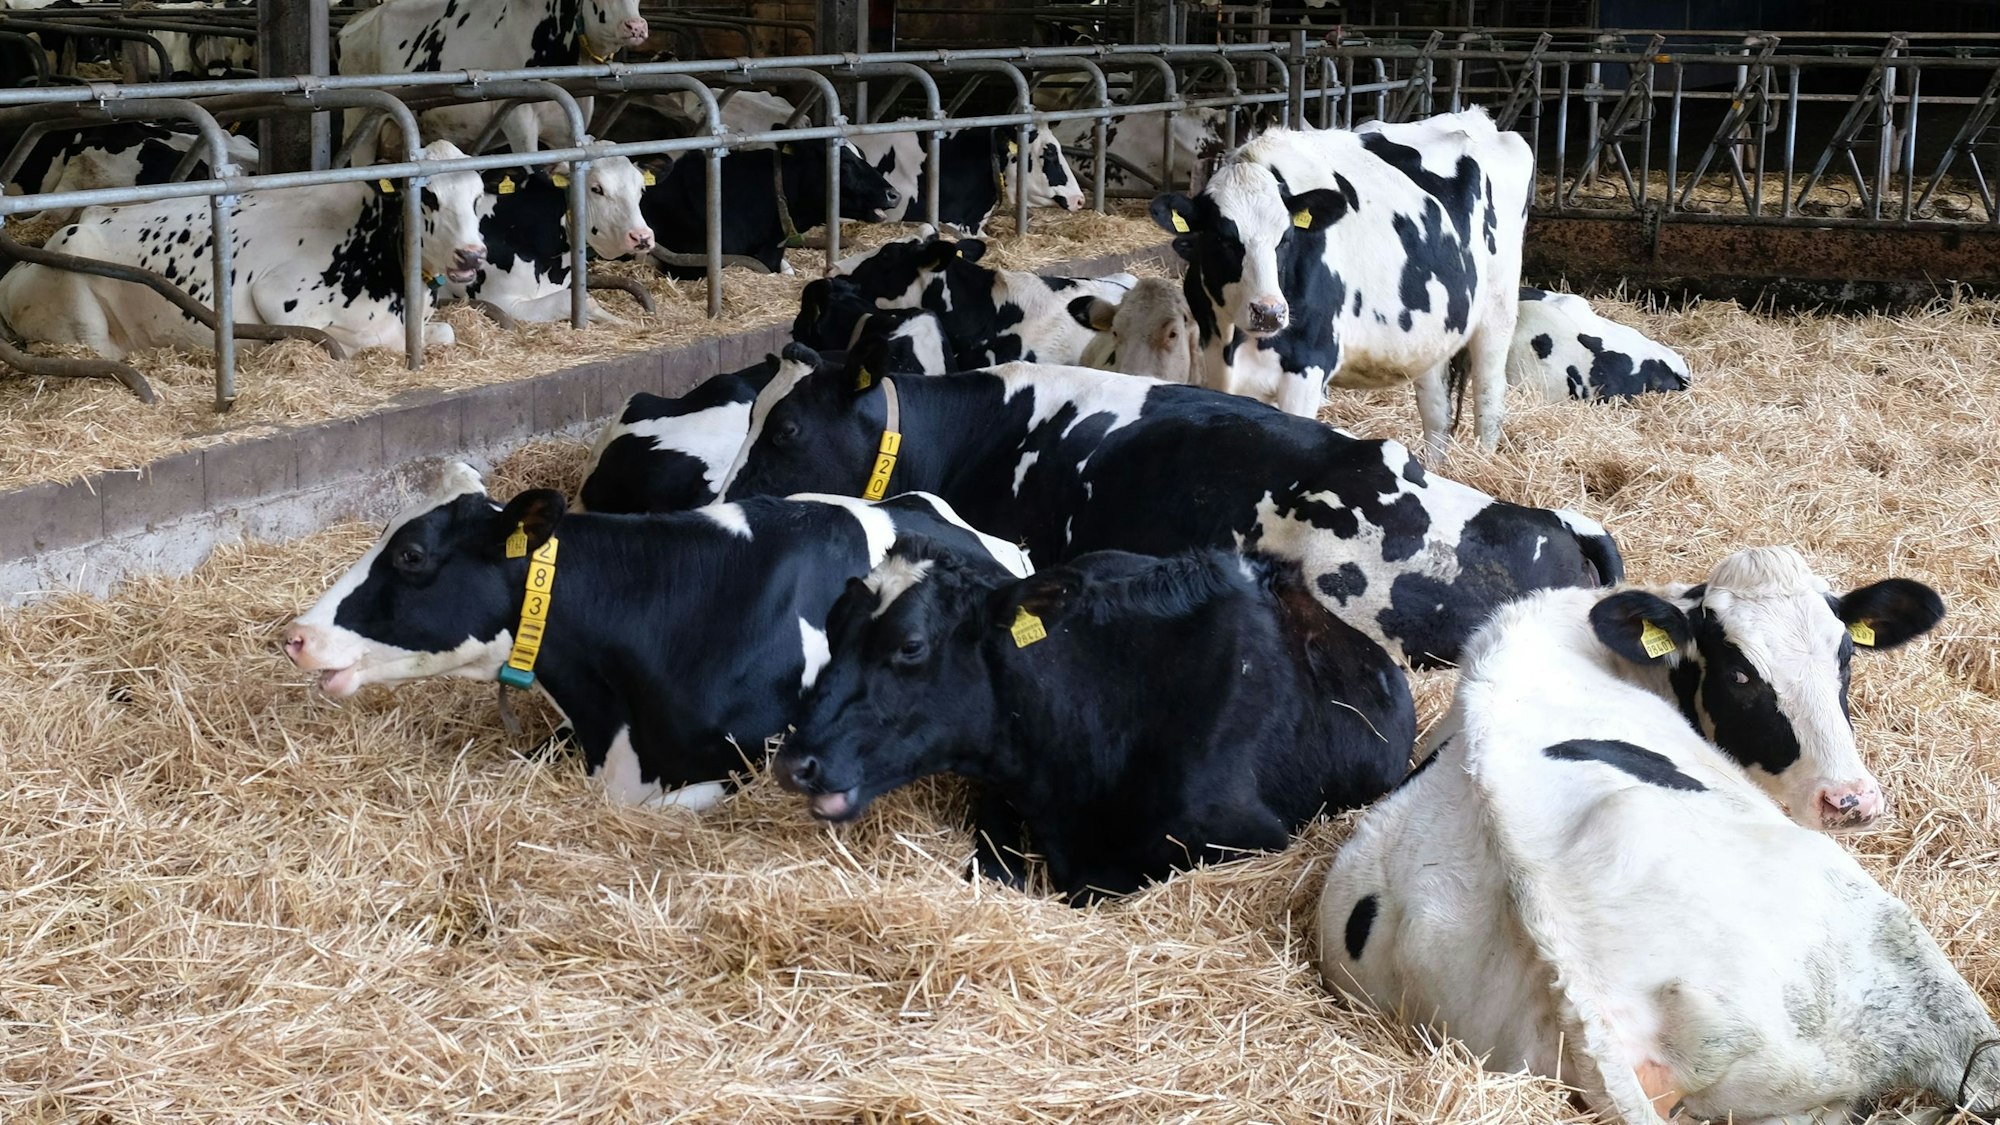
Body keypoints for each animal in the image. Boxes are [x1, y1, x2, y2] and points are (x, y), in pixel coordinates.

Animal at [0, 139, 487, 360]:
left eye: (479, 196)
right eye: (428, 197)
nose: (472, 255)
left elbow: (444, 331)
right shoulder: (283, 300)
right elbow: (359, 343)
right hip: (80, 305)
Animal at [441, 157, 653, 324]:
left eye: (641, 190)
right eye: (596, 189)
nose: (642, 236)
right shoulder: (503, 300)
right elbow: (581, 301)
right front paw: (629, 325)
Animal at [1152, 109, 1533, 456]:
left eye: (1286, 238)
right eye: (1220, 238)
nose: (1269, 312)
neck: (1237, 339)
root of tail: (1474, 117)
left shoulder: (1308, 365)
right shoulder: (1216, 359)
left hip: (1498, 310)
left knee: (1488, 398)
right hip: (1433, 332)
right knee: (1437, 412)